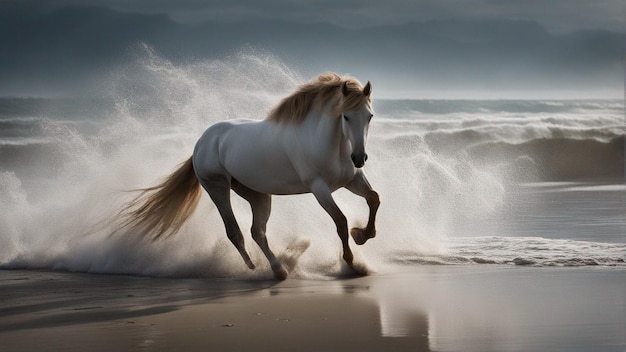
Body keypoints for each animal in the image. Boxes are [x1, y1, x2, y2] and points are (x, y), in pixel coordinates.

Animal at [119, 73, 378, 280]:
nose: (359, 158)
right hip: (218, 188)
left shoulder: (351, 181)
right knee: (234, 231)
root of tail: (202, 141)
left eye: (369, 116)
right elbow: (340, 221)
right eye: (345, 116)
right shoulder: (319, 188)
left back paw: (278, 269)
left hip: (257, 194)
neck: (324, 140)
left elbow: (373, 198)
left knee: (257, 232)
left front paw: (362, 235)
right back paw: (258, 267)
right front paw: (352, 262)